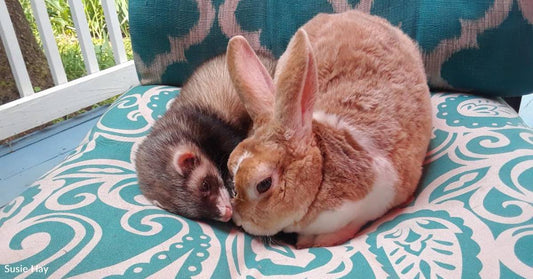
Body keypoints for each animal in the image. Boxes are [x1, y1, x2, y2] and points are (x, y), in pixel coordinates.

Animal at [224, 9, 432, 248]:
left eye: (264, 184)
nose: (239, 220)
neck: (322, 173)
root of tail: (350, 13)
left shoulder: (371, 203)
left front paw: (314, 243)